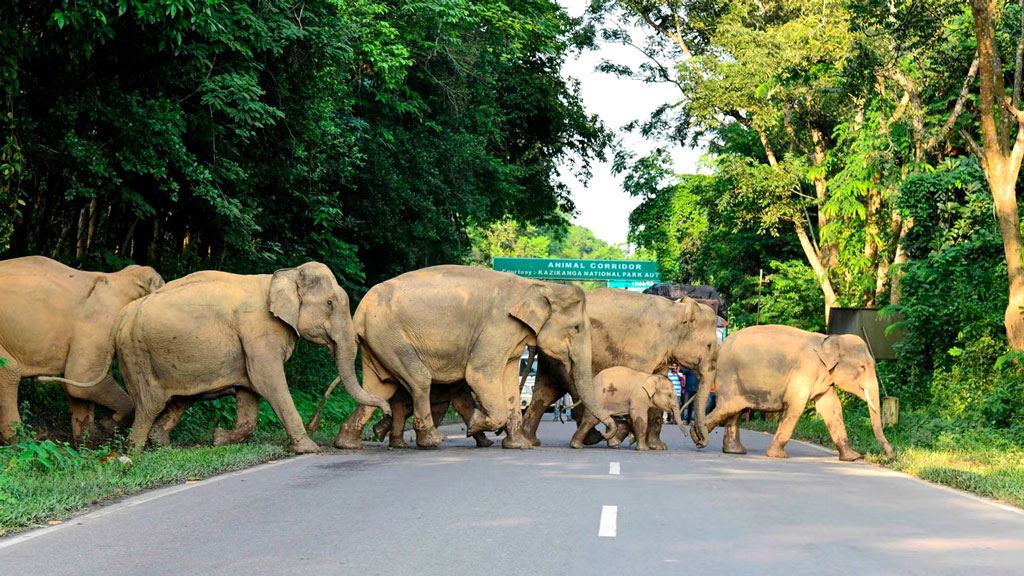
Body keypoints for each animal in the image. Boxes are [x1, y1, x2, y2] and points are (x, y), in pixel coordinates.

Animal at [0, 256, 162, 444]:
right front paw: (109, 425)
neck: (123, 277)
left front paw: (86, 443)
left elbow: (77, 390)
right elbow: (83, 379)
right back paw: (22, 442)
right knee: (9, 372)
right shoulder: (101, 323)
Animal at [57, 260, 391, 453]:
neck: (281, 276)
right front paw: (308, 449)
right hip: (137, 353)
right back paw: (134, 451)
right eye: (331, 303)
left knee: (179, 398)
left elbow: (249, 393)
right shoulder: (258, 330)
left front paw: (219, 438)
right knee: (149, 403)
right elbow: (268, 381)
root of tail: (124, 316)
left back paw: (160, 445)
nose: (386, 418)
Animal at [333, 264, 614, 448]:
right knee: (418, 379)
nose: (608, 432)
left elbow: (509, 380)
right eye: (576, 328)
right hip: (390, 335)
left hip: (378, 341)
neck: (539, 286)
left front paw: (518, 446)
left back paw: (348, 444)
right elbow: (479, 374)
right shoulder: (498, 326)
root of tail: (360, 311)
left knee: (378, 388)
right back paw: (433, 440)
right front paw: (476, 424)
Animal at [520, 289, 720, 446]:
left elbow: (659, 382)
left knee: (546, 393)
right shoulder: (641, 350)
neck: (676, 310)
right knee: (575, 391)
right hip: (566, 353)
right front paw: (622, 437)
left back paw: (531, 440)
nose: (697, 440)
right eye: (709, 345)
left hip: (551, 358)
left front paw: (657, 447)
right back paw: (595, 438)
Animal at [708, 325, 892, 459]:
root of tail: (720, 346)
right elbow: (796, 404)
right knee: (728, 408)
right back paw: (703, 441)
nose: (890, 456)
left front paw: (852, 457)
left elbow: (831, 408)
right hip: (728, 376)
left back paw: (735, 451)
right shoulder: (804, 370)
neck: (828, 340)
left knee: (735, 412)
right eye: (862, 367)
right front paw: (777, 455)